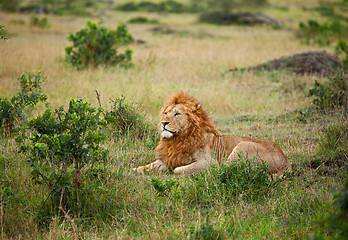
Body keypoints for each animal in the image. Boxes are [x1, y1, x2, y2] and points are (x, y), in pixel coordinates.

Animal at [135, 93, 292, 175]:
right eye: (165, 113)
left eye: (177, 114)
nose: (163, 123)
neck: (178, 139)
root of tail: (286, 161)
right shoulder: (169, 158)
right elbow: (147, 166)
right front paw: (136, 169)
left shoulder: (207, 161)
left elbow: (178, 170)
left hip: (243, 145)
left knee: (224, 169)